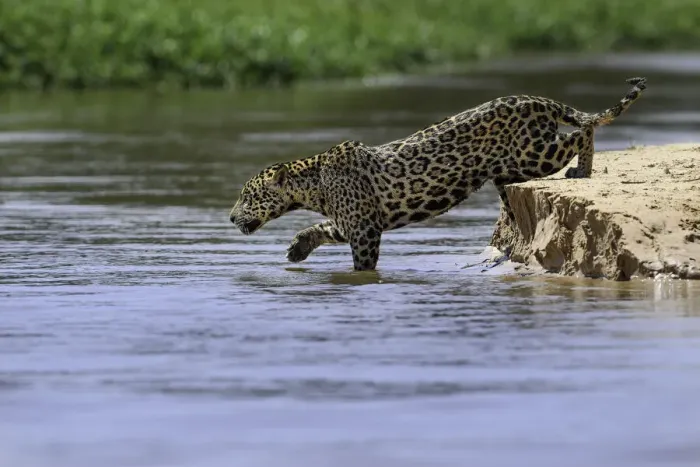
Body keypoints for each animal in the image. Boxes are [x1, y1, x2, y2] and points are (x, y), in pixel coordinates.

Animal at [229, 77, 647, 271]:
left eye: (248, 196)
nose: (231, 217)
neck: (312, 185)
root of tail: (538, 99)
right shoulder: (354, 221)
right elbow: (321, 228)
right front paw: (298, 247)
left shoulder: (364, 229)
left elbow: (361, 261)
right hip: (510, 170)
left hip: (535, 154)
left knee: (583, 131)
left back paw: (583, 169)